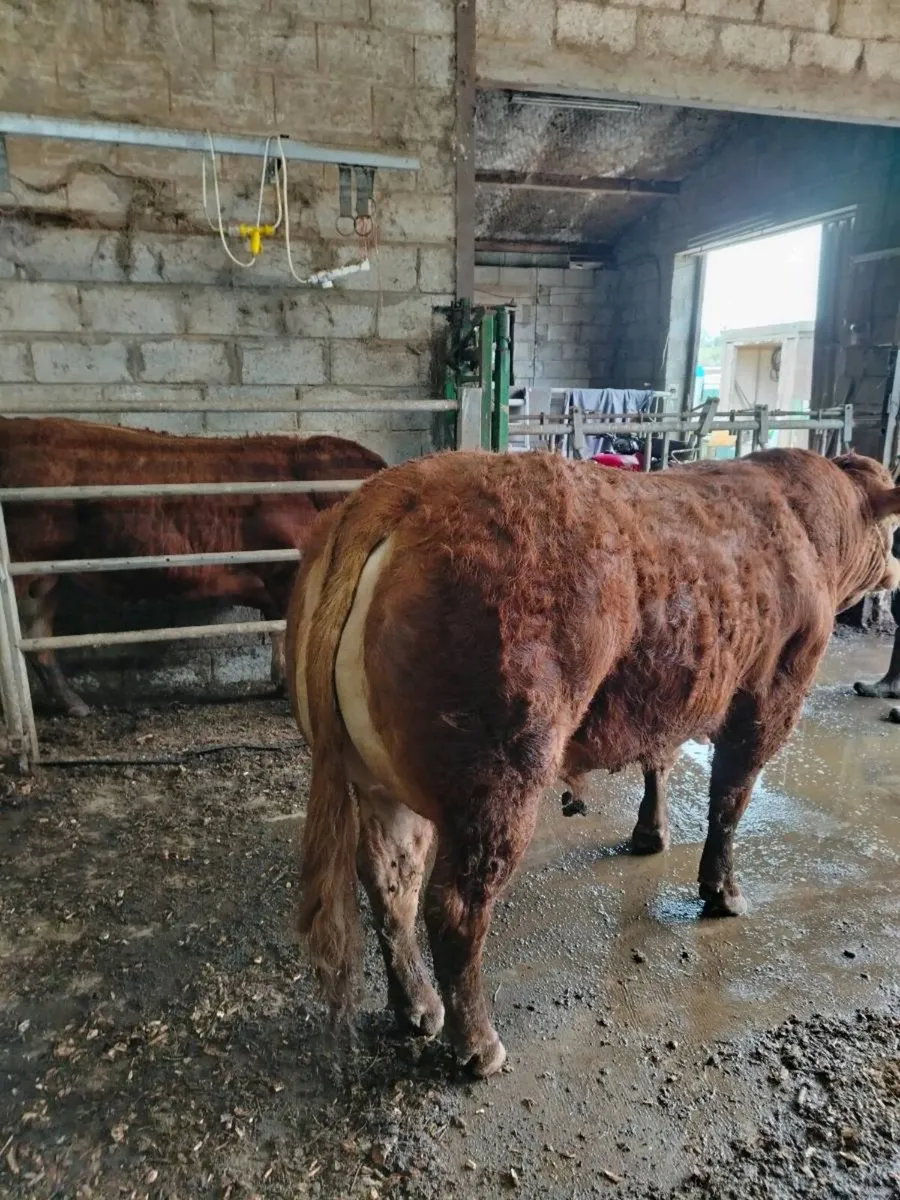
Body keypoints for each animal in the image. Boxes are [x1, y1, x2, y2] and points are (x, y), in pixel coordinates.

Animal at [285, 447, 900, 1078]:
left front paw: (651, 834)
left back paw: (417, 1006)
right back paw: (478, 1044)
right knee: (455, 905)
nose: (895, 574)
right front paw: (722, 891)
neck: (807, 524)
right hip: (499, 778)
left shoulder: (669, 690)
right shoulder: (773, 692)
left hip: (379, 782)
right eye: (894, 529)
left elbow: (660, 758)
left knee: (391, 880)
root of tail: (400, 487)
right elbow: (730, 798)